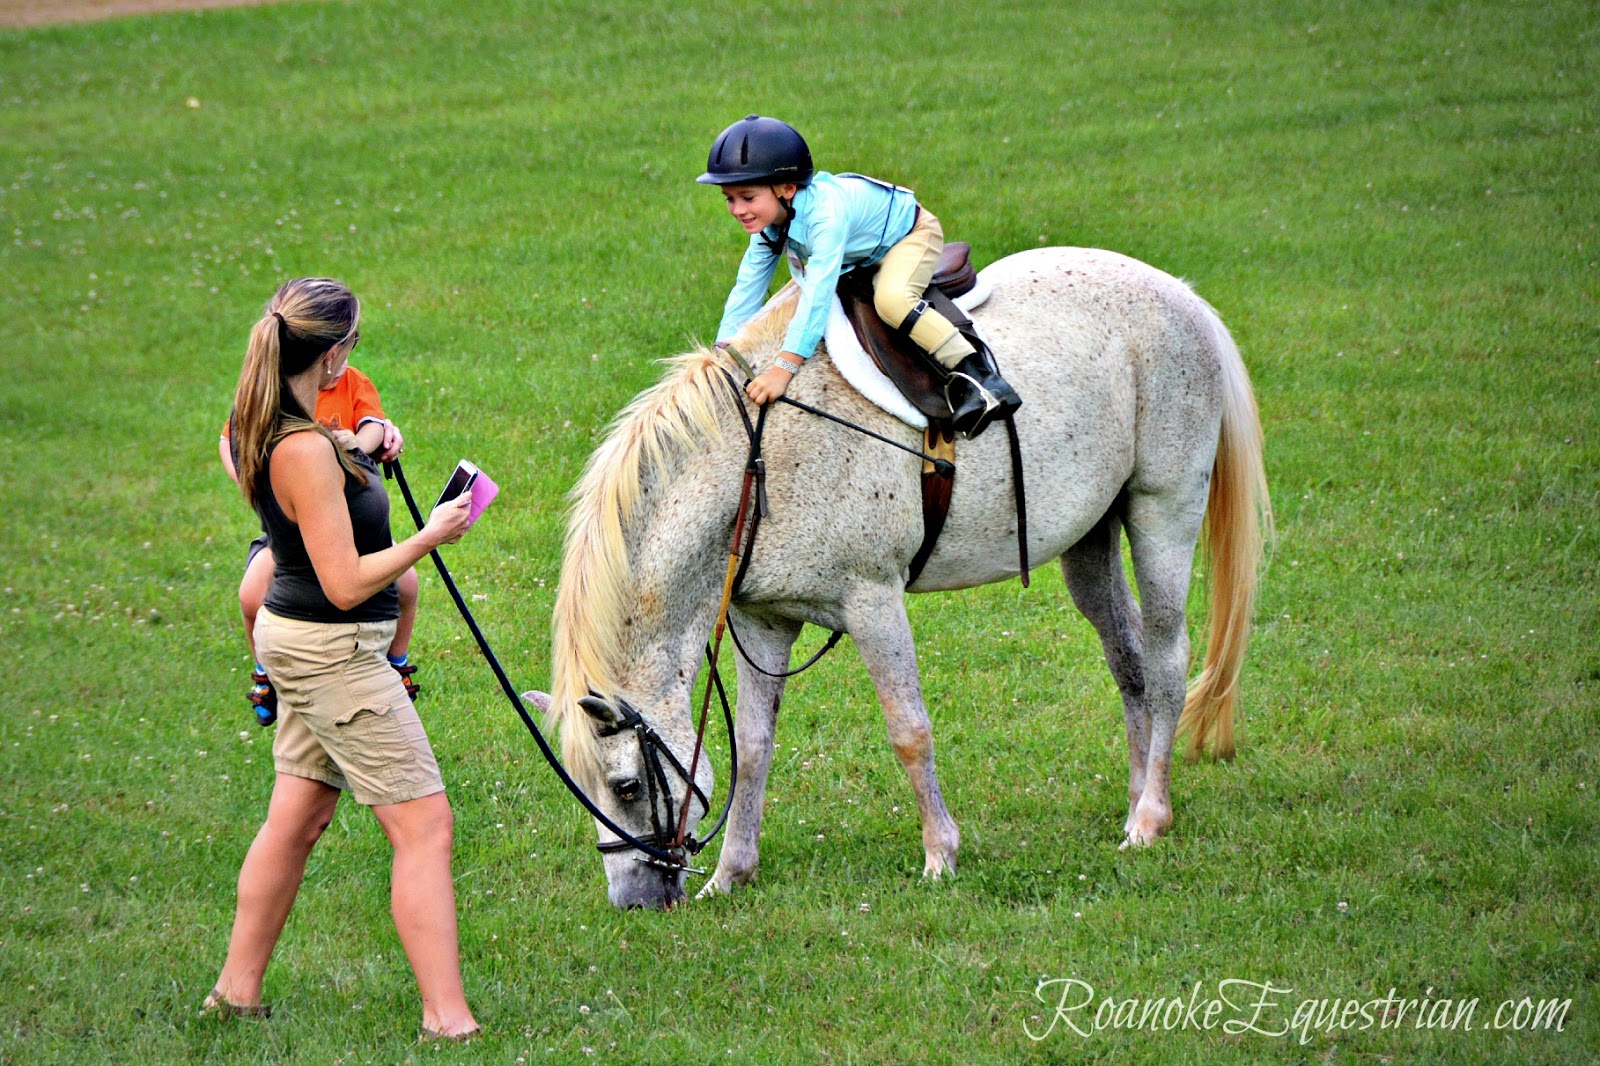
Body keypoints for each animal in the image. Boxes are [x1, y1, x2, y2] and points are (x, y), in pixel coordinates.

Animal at [531, 246, 1270, 910]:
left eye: (626, 787)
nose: (632, 901)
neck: (758, 457)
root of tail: (1182, 296)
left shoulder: (873, 603)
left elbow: (909, 731)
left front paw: (941, 853)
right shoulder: (764, 622)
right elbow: (754, 748)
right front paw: (733, 873)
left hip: (1162, 511)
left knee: (1168, 659)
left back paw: (1150, 816)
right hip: (1089, 541)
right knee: (1130, 664)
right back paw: (1136, 797)